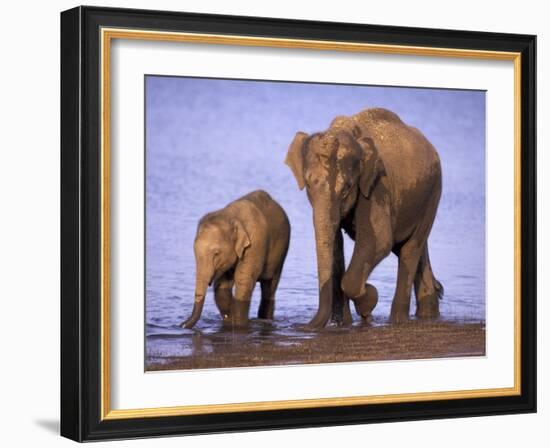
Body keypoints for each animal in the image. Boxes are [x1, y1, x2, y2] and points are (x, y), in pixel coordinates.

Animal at [182, 190, 294, 328]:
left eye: (216, 254)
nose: (181, 325)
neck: (230, 216)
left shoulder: (255, 244)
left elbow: (243, 281)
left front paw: (239, 324)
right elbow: (222, 287)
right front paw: (229, 321)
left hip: (281, 252)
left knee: (269, 287)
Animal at [286, 107, 446, 328]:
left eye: (347, 188)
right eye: (309, 184)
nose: (302, 326)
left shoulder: (377, 185)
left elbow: (379, 240)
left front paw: (368, 300)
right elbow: (335, 245)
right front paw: (344, 323)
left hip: (433, 193)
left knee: (409, 249)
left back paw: (398, 320)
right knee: (413, 248)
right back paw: (429, 311)